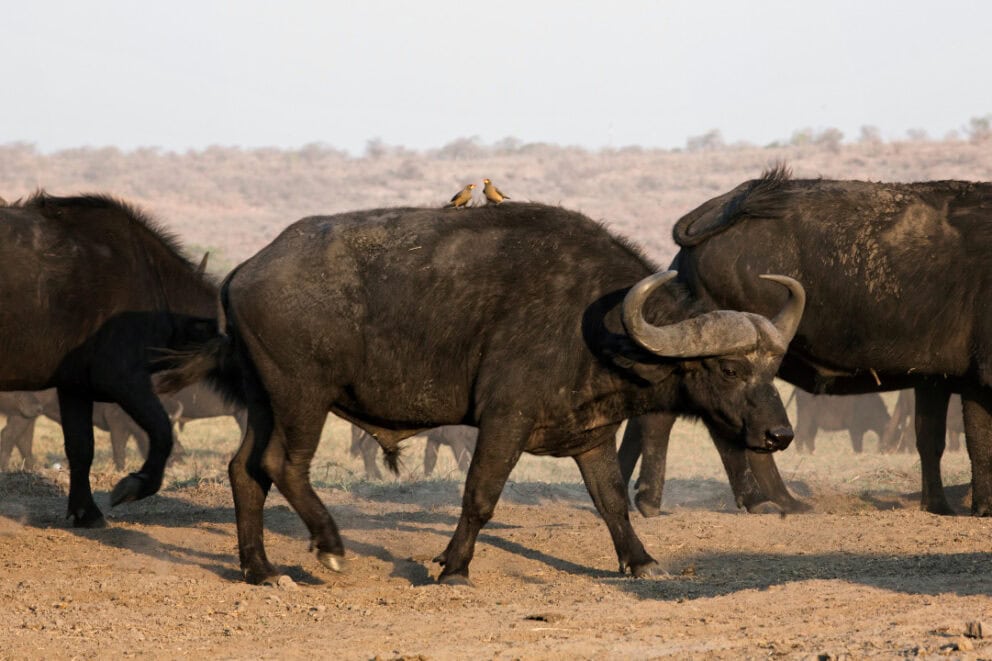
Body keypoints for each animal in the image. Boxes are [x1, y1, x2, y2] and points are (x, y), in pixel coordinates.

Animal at [0, 193, 216, 526]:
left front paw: (85, 512)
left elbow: (80, 447)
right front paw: (133, 485)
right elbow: (161, 431)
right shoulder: (122, 376)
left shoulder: (73, 385)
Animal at [160, 202, 805, 585]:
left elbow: (611, 503)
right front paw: (453, 566)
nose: (780, 435)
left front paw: (641, 561)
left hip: (263, 401)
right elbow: (480, 497)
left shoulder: (591, 436)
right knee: (282, 465)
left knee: (245, 470)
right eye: (728, 368)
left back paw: (260, 569)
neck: (596, 326)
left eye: (772, 368)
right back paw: (329, 544)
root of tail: (244, 271)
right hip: (302, 397)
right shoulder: (504, 421)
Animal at [620, 166, 992, 516]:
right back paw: (776, 500)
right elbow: (974, 441)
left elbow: (941, 440)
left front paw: (947, 505)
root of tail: (724, 206)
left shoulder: (940, 378)